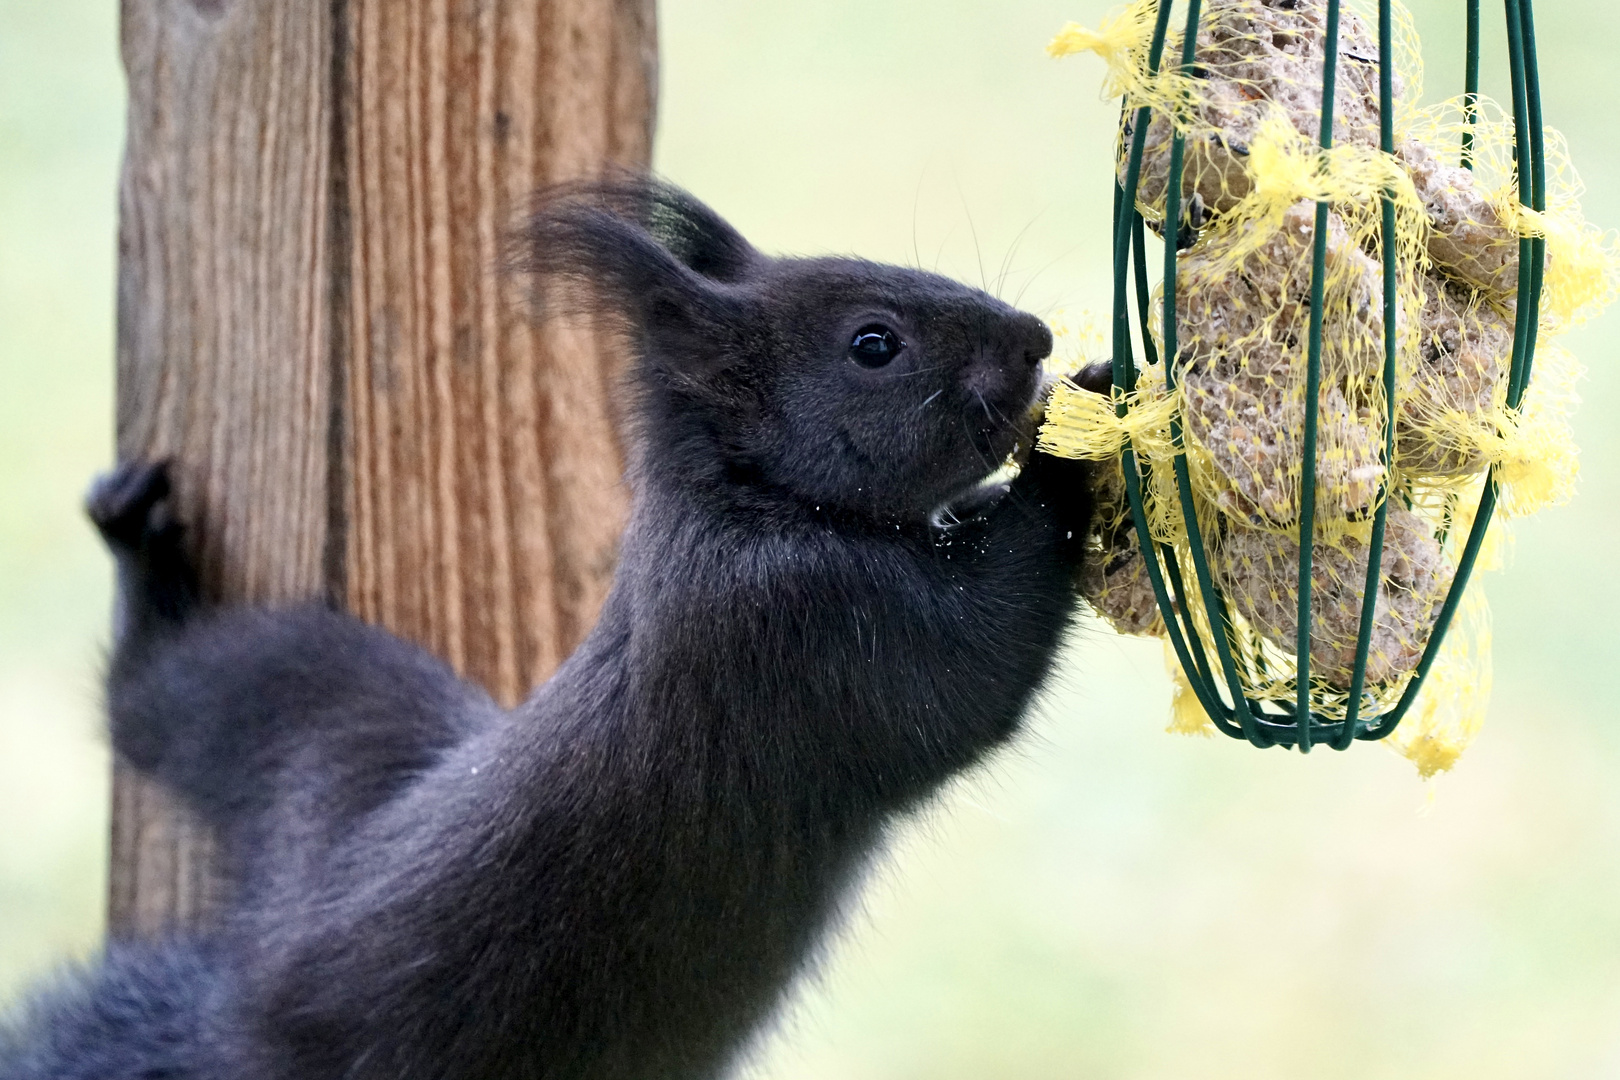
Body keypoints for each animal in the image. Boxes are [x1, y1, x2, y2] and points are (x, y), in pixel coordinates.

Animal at [0, 179, 1095, 1080]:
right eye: (873, 344)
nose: (1033, 340)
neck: (744, 500)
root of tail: (248, 999)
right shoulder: (807, 625)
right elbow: (981, 660)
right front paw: (1081, 436)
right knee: (151, 692)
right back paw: (148, 576)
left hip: (324, 721)